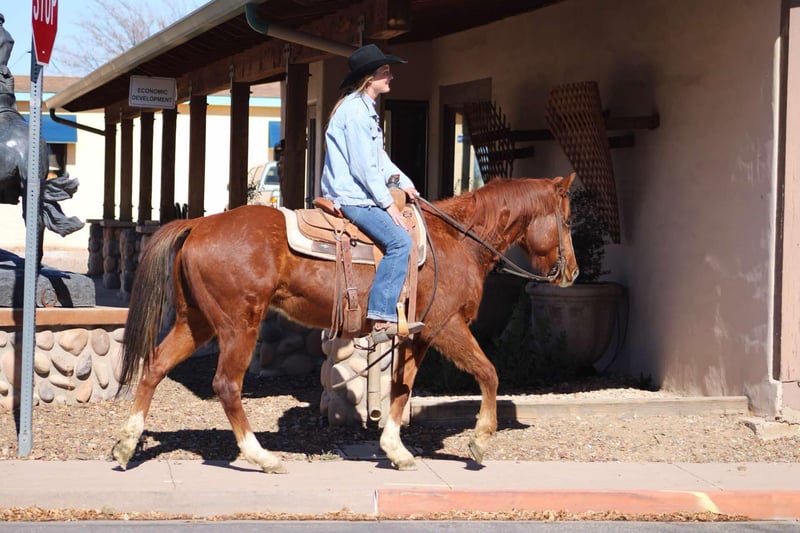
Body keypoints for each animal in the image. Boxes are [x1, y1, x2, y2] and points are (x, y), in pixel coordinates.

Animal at [112, 174, 579, 473]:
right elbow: (488, 372)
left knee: (154, 367)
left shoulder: (417, 336)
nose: (572, 272)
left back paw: (126, 444)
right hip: (237, 326)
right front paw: (480, 439)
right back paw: (262, 458)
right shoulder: (446, 327)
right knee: (227, 385)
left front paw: (396, 450)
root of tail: (198, 223)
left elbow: (401, 388)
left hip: (196, 322)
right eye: (570, 219)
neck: (457, 241)